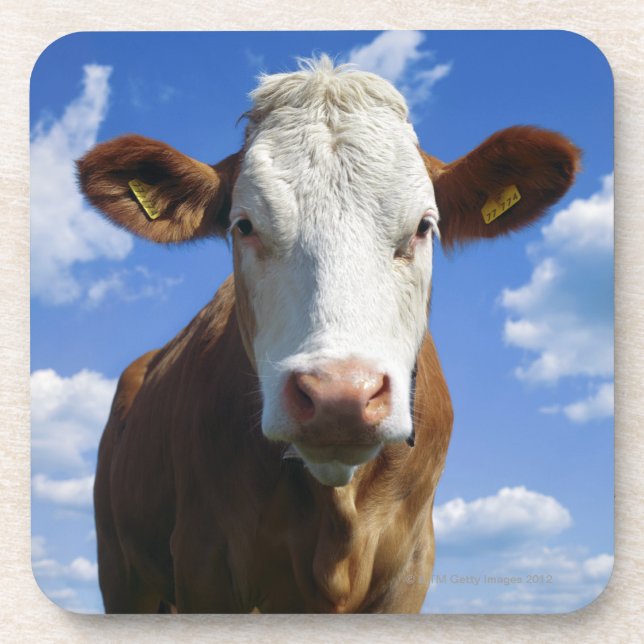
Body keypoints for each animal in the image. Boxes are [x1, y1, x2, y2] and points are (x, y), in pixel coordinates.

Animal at [77, 56, 579, 613]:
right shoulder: (203, 563)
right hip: (122, 573)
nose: (340, 395)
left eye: (424, 226)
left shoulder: (411, 571)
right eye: (244, 225)